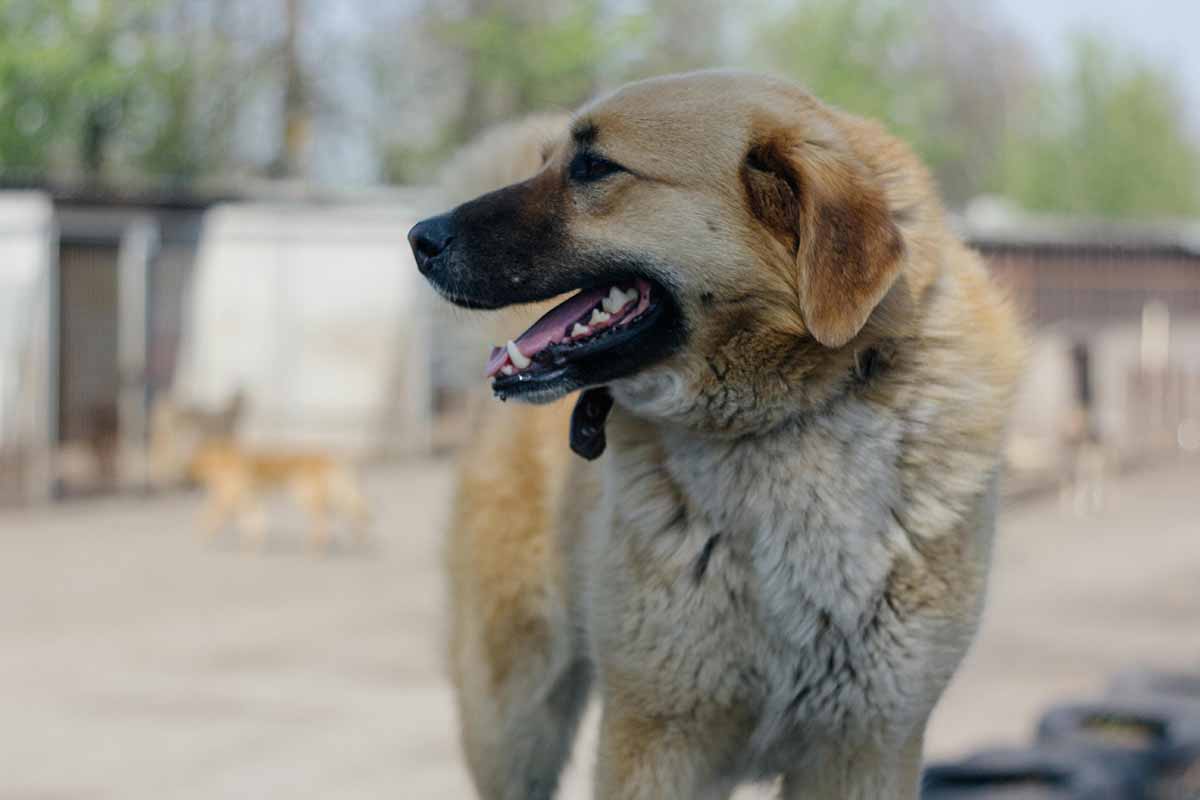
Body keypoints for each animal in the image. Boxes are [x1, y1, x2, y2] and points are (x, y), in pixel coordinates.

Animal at [149, 393, 367, 551]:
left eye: (189, 467)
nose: (183, 482)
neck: (220, 462)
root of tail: (330, 457)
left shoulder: (229, 497)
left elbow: (213, 516)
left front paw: (204, 532)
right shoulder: (247, 497)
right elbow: (254, 520)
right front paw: (253, 542)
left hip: (304, 495)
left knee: (325, 519)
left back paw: (318, 546)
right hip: (321, 496)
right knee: (340, 514)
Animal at [410, 71, 1022, 796]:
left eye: (594, 166)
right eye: (548, 161)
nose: (420, 238)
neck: (782, 424)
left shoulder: (867, 745)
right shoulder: (657, 738)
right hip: (514, 721)